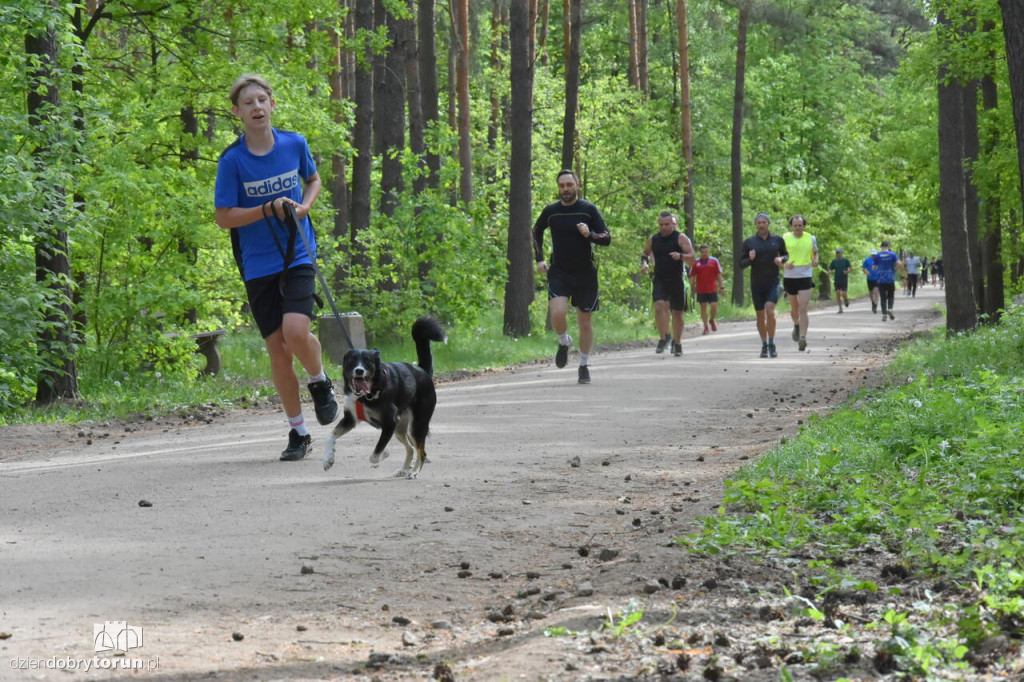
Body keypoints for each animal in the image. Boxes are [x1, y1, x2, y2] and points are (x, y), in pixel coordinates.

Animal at [323, 315, 444, 477]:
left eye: (367, 361)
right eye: (352, 360)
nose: (359, 371)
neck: (366, 395)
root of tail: (422, 370)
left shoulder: (389, 423)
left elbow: (375, 454)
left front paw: (385, 453)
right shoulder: (350, 419)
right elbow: (330, 436)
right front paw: (328, 459)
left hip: (416, 425)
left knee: (421, 451)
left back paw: (414, 472)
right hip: (401, 429)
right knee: (412, 449)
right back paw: (404, 469)